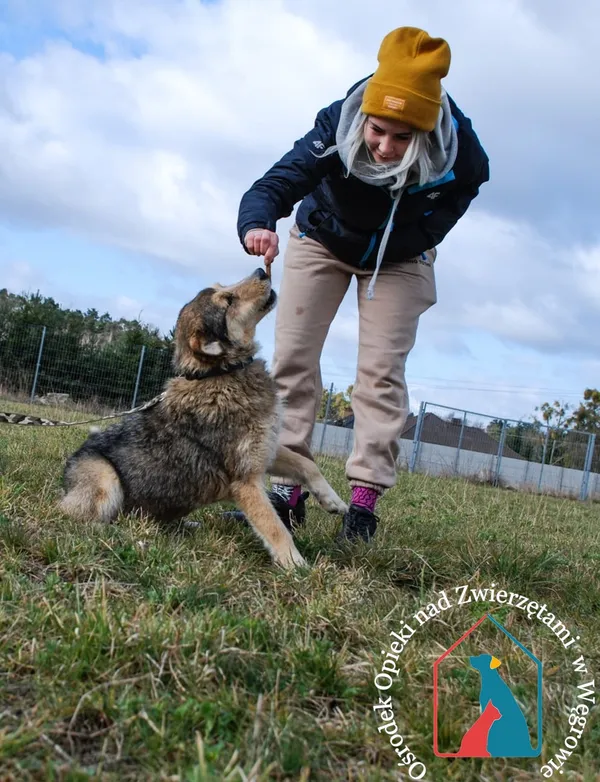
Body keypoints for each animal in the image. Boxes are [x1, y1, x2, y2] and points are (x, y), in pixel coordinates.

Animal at [58, 270, 350, 568]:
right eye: (229, 301)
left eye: (223, 287)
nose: (261, 271)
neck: (221, 373)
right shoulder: (245, 481)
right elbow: (275, 527)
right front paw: (297, 566)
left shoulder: (265, 450)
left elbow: (306, 464)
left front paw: (333, 501)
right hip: (106, 479)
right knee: (71, 515)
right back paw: (113, 531)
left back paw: (185, 526)